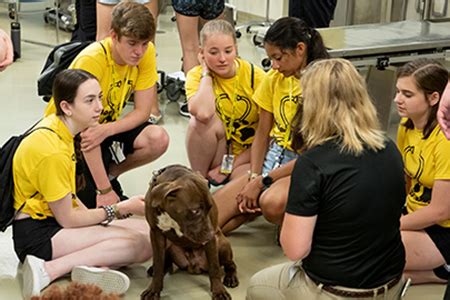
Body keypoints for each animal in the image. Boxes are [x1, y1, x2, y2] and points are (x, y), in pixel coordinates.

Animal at [141, 164, 239, 300]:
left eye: (210, 207)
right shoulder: (156, 234)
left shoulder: (211, 243)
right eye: (195, 210)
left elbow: (214, 268)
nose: (211, 234)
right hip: (170, 246)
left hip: (222, 244)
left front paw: (219, 291)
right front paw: (154, 290)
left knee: (230, 264)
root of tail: (194, 266)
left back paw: (230, 277)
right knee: (165, 262)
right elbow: (158, 264)